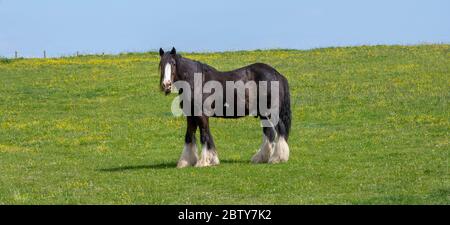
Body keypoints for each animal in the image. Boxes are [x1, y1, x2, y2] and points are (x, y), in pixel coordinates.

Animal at [158, 47, 292, 167]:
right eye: (161, 64)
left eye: (173, 63)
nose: (166, 85)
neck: (196, 82)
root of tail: (276, 74)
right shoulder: (190, 115)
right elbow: (190, 136)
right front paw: (187, 161)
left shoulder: (202, 115)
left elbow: (204, 135)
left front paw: (204, 161)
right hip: (263, 113)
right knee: (268, 133)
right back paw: (261, 158)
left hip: (271, 112)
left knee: (279, 130)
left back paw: (278, 158)